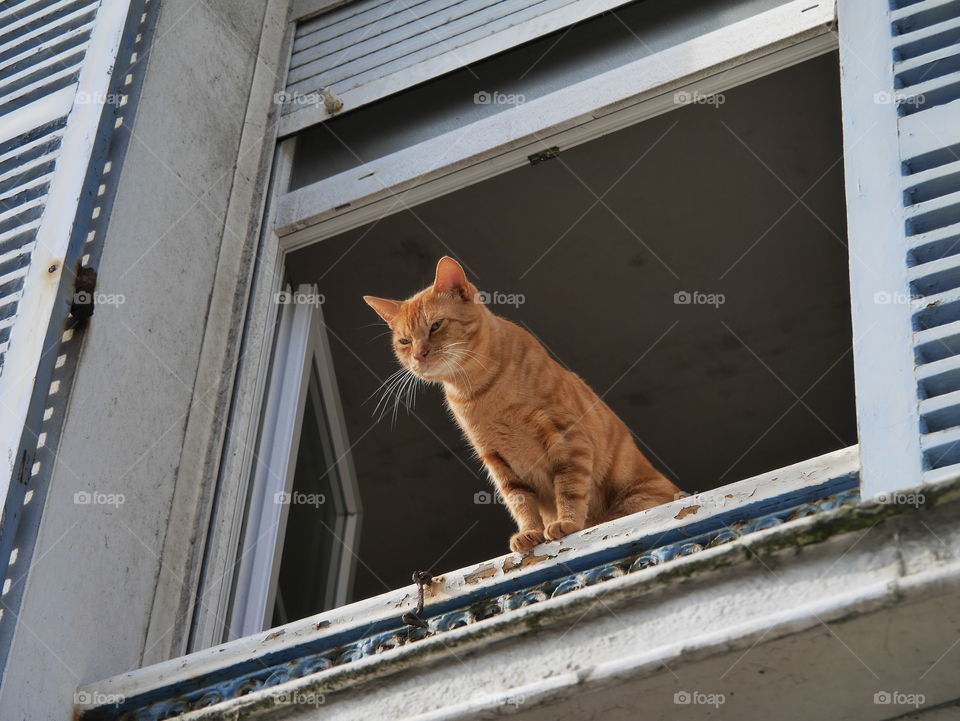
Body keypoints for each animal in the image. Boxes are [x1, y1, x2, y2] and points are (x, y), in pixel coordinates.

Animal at [362, 258, 684, 552]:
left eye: (436, 325)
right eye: (405, 341)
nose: (419, 355)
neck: (480, 391)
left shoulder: (568, 438)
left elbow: (569, 488)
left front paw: (567, 523)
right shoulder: (497, 460)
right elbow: (520, 501)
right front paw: (530, 532)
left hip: (635, 497)